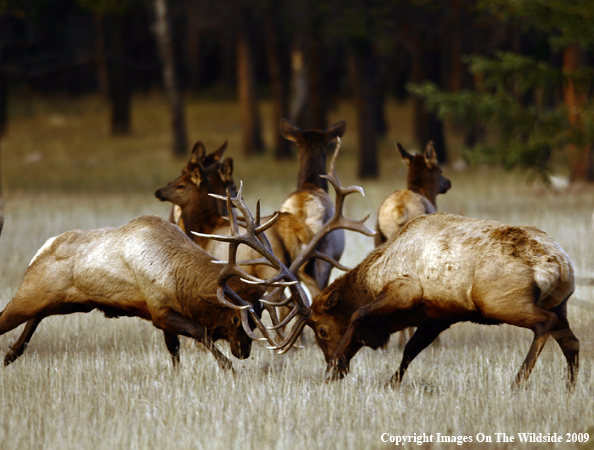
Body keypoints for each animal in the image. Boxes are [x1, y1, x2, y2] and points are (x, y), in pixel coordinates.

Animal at [278, 213, 580, 388]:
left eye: (322, 330)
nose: (335, 366)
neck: (372, 279)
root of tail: (562, 265)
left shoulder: (406, 290)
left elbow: (359, 313)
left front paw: (334, 365)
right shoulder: (439, 316)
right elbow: (411, 349)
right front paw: (392, 383)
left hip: (500, 302)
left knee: (545, 323)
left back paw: (518, 382)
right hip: (560, 303)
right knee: (571, 341)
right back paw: (570, 387)